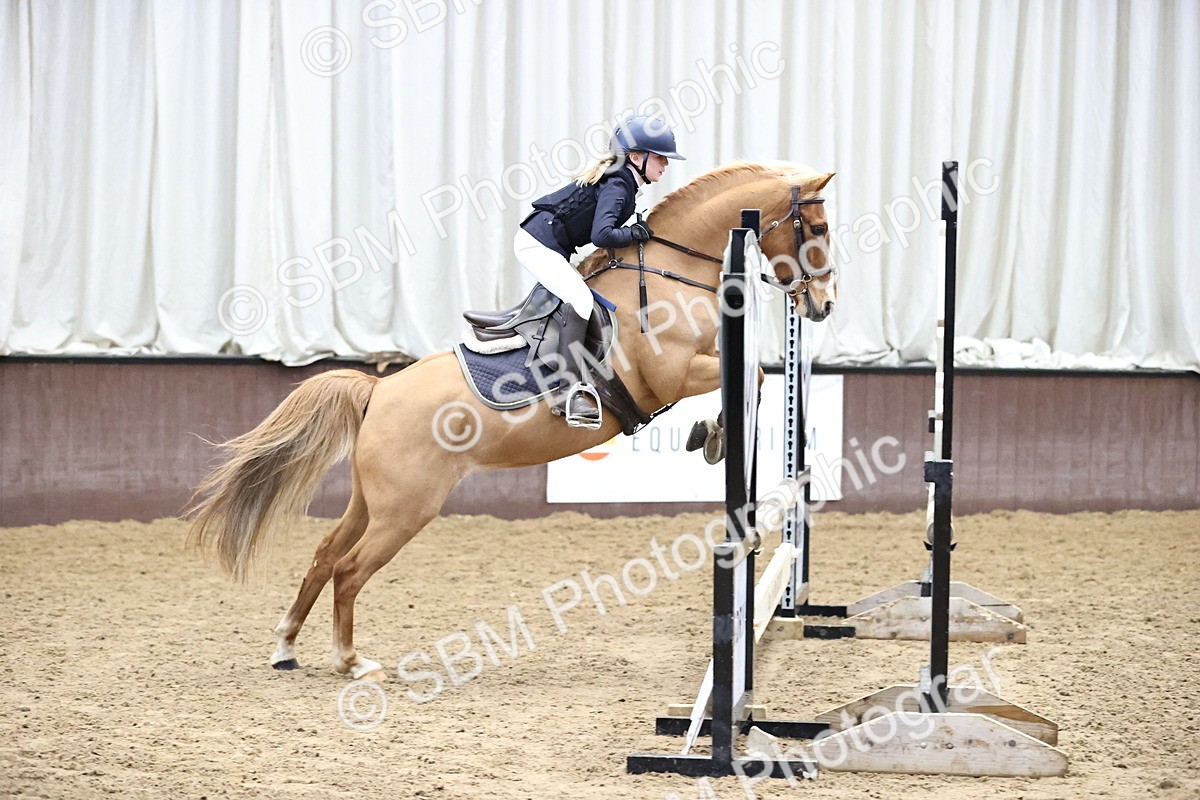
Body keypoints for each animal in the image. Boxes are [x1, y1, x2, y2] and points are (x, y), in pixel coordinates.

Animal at [186, 161, 837, 682]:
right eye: (819, 230)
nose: (823, 305)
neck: (672, 270)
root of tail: (380, 389)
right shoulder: (674, 374)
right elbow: (752, 379)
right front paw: (716, 435)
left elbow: (751, 379)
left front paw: (713, 435)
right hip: (405, 510)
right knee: (347, 571)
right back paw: (350, 661)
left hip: (371, 501)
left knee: (324, 556)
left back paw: (286, 646)